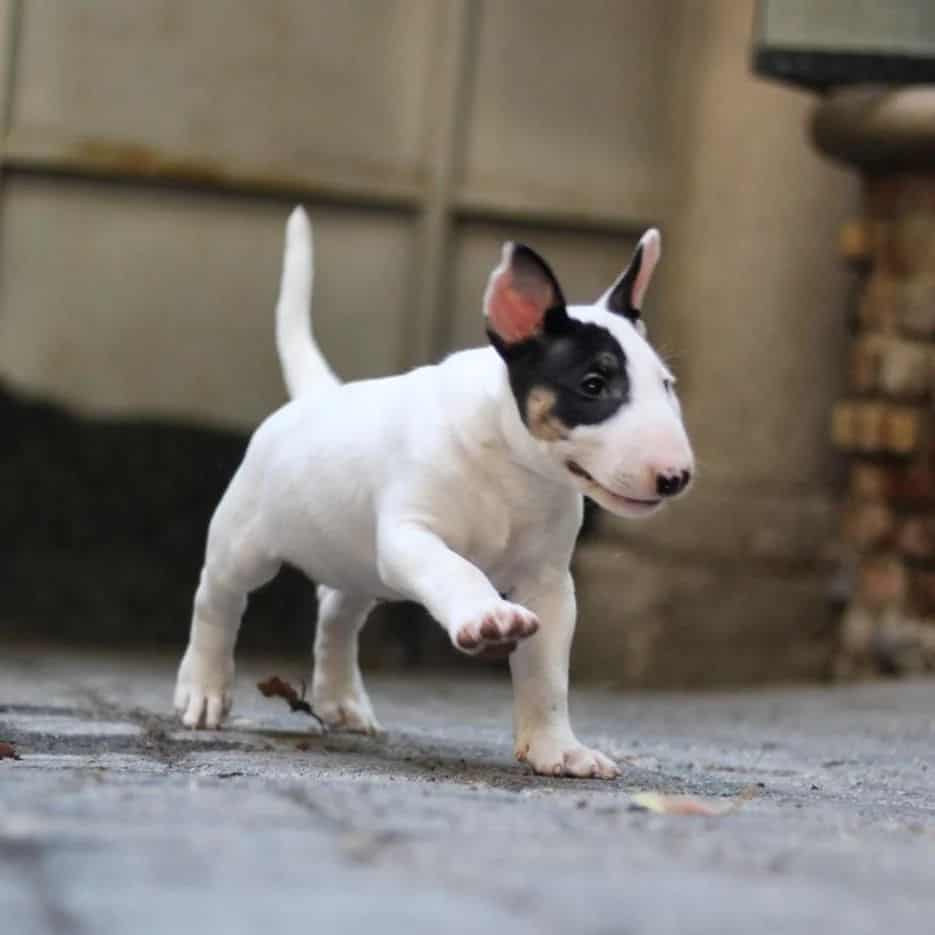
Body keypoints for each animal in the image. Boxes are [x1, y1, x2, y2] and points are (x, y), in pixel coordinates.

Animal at [174, 208, 696, 780]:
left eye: (666, 385)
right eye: (593, 385)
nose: (676, 477)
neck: (511, 464)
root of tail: (318, 396)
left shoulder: (549, 582)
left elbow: (548, 673)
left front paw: (559, 749)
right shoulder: (410, 535)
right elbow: (456, 569)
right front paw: (489, 619)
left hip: (359, 562)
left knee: (337, 612)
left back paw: (342, 700)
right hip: (247, 541)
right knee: (217, 597)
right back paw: (203, 689)